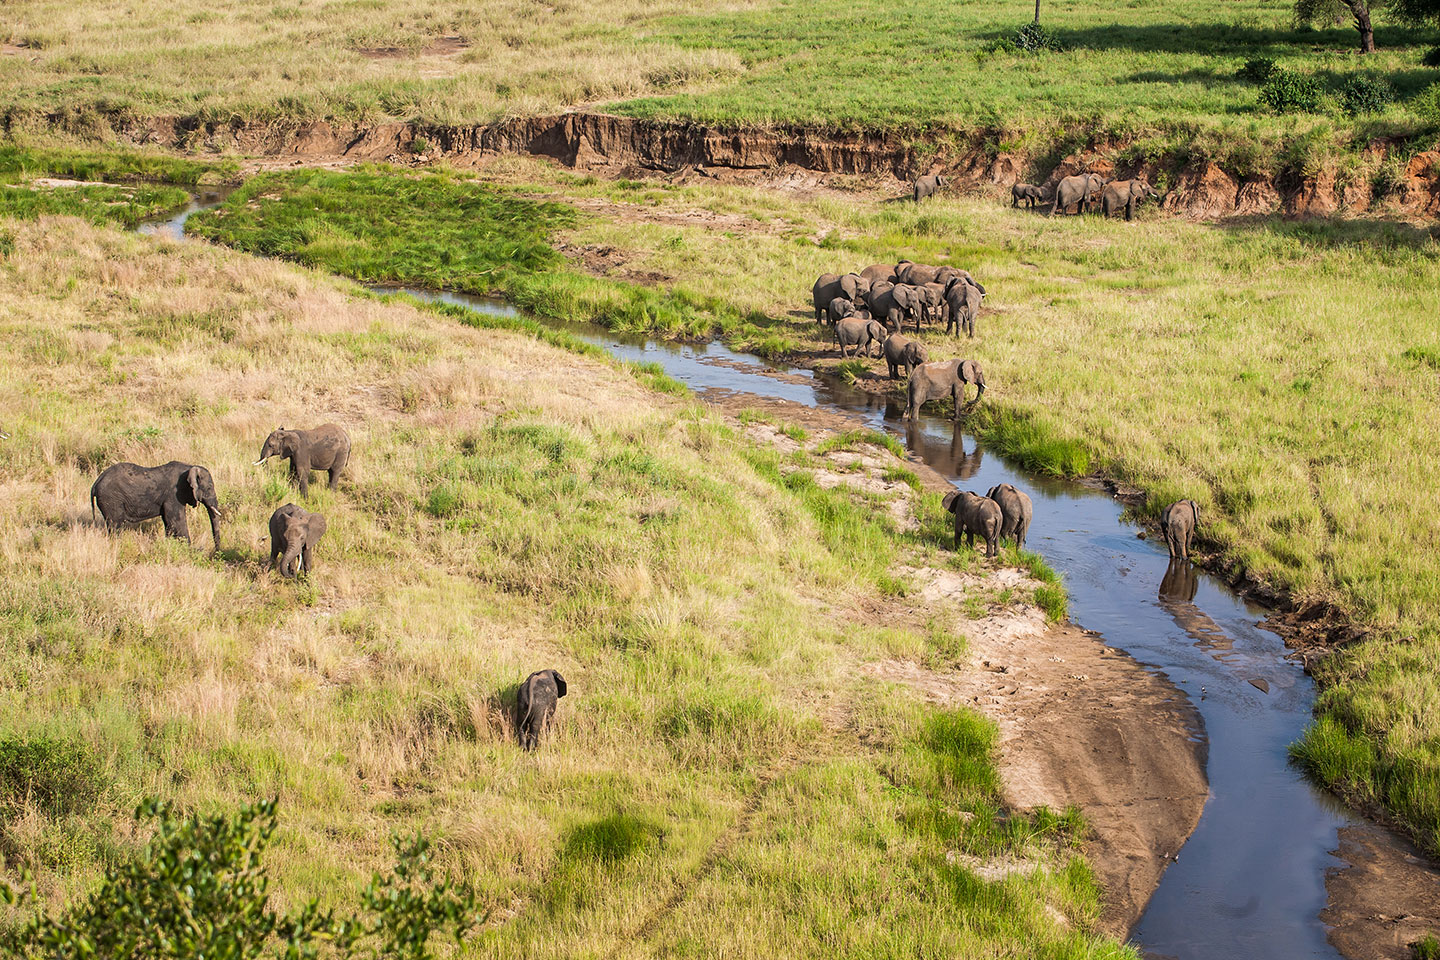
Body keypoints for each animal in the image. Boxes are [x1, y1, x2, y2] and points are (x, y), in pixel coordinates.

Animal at [91, 461, 222, 551]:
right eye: (209, 487)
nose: (216, 552)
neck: (189, 467)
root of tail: (96, 481)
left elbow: (168, 522)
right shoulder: (173, 494)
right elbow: (177, 522)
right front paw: (189, 551)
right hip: (111, 499)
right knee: (115, 525)